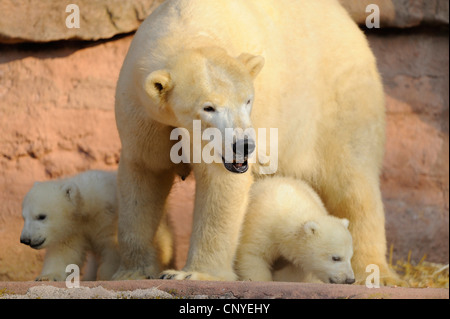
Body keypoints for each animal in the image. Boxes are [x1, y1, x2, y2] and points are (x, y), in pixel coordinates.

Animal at [20, 171, 173, 282]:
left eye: (41, 216)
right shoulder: (74, 229)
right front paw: (46, 276)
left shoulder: (108, 219)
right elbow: (64, 251)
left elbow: (112, 250)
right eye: (24, 217)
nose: (25, 239)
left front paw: (106, 277)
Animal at [114, 0, 400, 284]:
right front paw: (134, 271)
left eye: (248, 100)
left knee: (353, 180)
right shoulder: (141, 112)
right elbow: (144, 176)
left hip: (341, 98)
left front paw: (193, 273)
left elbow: (220, 184)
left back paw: (376, 272)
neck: (185, 30)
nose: (243, 145)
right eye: (208, 107)